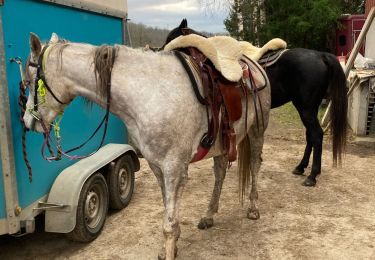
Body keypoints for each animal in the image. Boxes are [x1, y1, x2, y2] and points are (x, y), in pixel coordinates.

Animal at [166, 19, 348, 187]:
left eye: (172, 39)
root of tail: (321, 55)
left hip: (306, 108)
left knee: (316, 135)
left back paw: (312, 176)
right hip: (307, 108)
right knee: (310, 135)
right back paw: (301, 167)